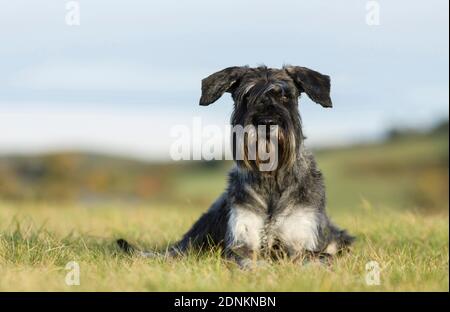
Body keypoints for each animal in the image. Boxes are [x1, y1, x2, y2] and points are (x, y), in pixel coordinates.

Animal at [117, 64, 356, 268]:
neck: (271, 177)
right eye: (247, 95)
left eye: (285, 96)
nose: (266, 123)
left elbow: (312, 258)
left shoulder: (300, 240)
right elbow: (250, 261)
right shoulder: (242, 241)